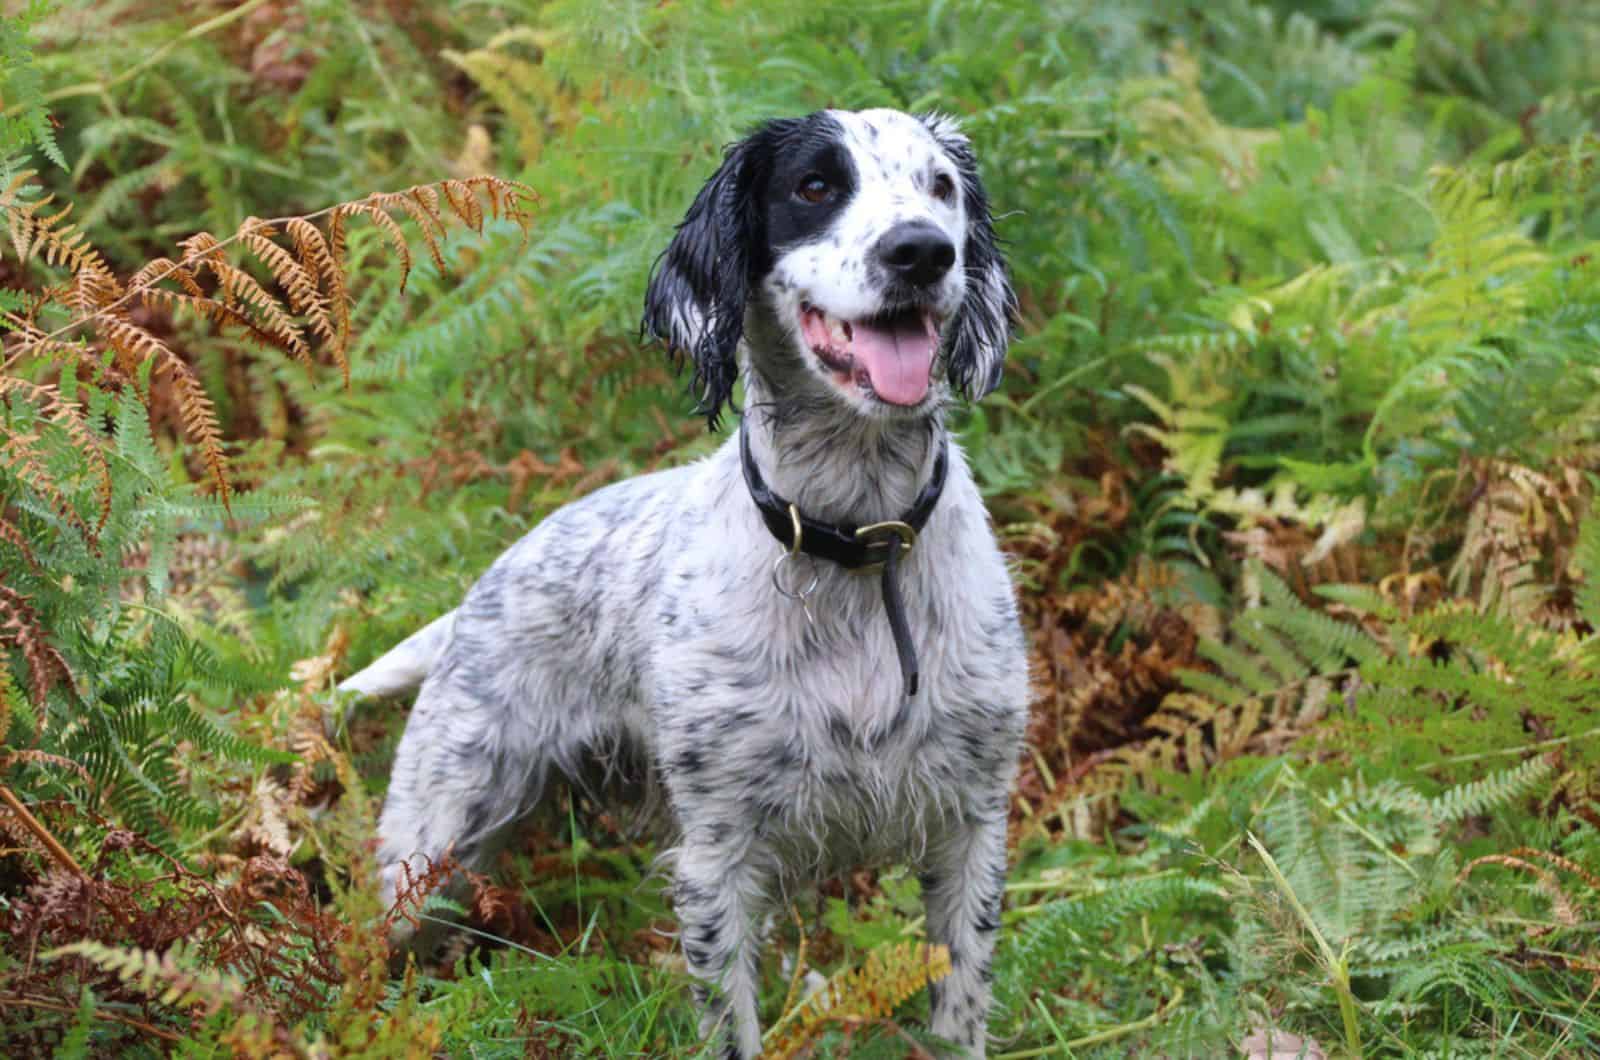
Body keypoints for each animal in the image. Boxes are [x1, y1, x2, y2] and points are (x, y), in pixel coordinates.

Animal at [344, 109, 1030, 1060]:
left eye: (941, 187)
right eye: (815, 186)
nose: (921, 251)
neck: (853, 549)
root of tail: (486, 584)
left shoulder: (970, 830)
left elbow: (958, 1002)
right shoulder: (718, 857)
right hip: (434, 844)